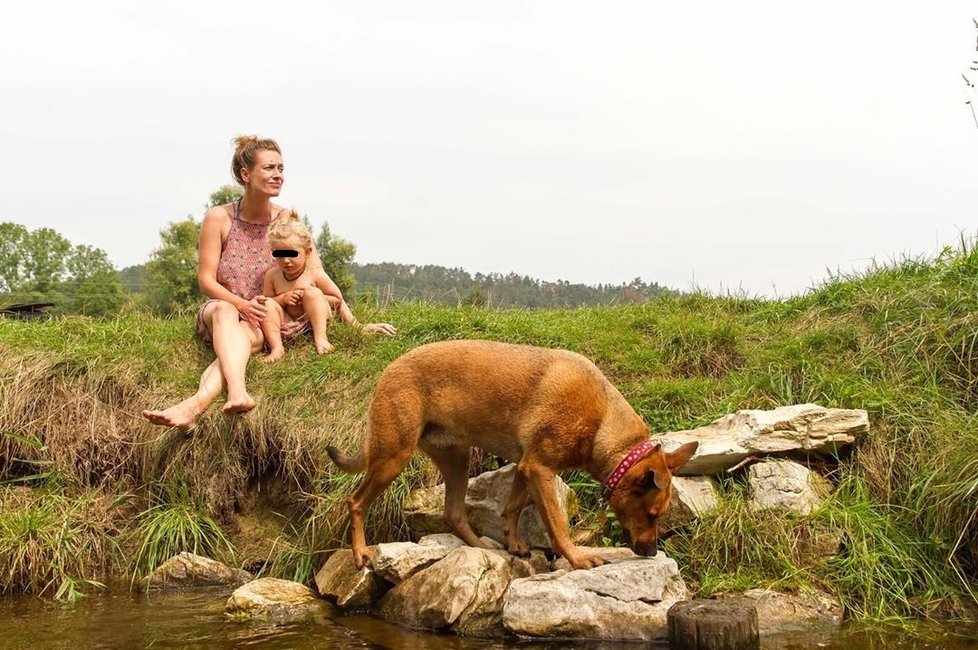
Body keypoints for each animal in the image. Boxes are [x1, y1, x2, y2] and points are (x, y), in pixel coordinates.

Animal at [326, 340, 692, 568]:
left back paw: (481, 545)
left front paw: (514, 543)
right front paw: (577, 558)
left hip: (457, 460)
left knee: (453, 514)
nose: (651, 552)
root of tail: (389, 367)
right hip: (393, 456)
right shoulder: (540, 469)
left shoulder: (524, 467)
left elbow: (513, 507)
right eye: (654, 514)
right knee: (355, 503)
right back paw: (360, 553)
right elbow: (557, 524)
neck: (602, 419)